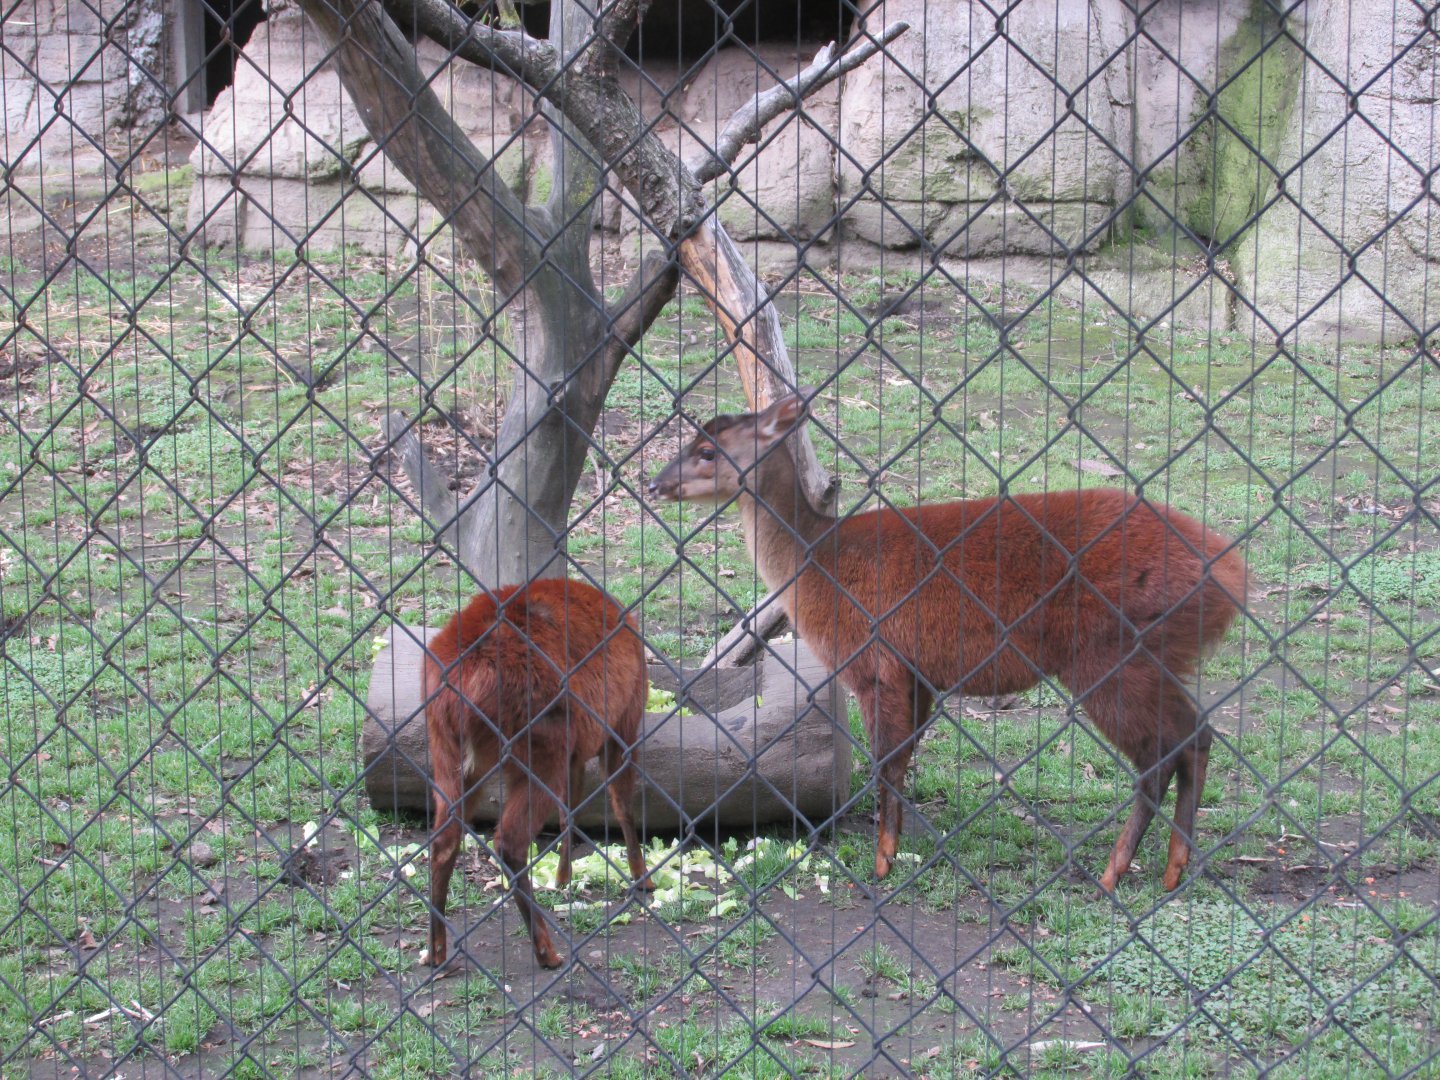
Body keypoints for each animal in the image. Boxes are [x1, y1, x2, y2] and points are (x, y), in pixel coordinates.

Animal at [421, 578, 652, 970]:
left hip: (448, 753)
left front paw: (562, 877)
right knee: (509, 842)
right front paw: (642, 876)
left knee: (443, 840)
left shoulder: (578, 750)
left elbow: (571, 809)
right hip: (542, 746)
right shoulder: (622, 722)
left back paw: (437, 950)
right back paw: (547, 951)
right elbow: (621, 803)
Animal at [648, 393, 1246, 893]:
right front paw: (894, 848)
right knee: (1198, 735)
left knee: (1161, 755)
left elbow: (886, 764)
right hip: (1153, 660)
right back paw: (1172, 869)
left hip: (1113, 657)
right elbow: (902, 760)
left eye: (706, 450)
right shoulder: (918, 676)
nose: (654, 483)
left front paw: (881, 862)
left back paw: (1114, 872)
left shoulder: (874, 661)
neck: (817, 561)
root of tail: (1233, 579)